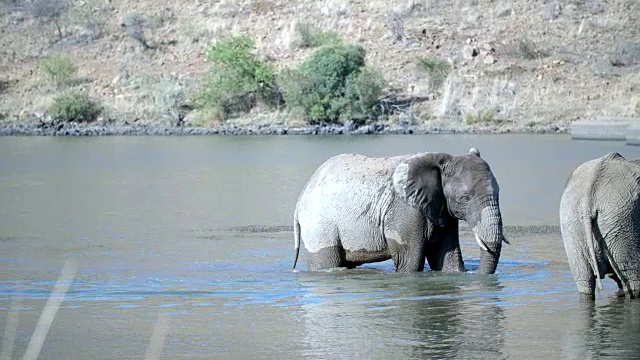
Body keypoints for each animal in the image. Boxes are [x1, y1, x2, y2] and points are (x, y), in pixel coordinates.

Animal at [292, 148, 508, 274]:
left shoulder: (441, 208)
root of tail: (301, 197)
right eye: (464, 198)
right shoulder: (404, 210)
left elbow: (447, 258)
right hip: (319, 225)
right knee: (327, 262)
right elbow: (410, 262)